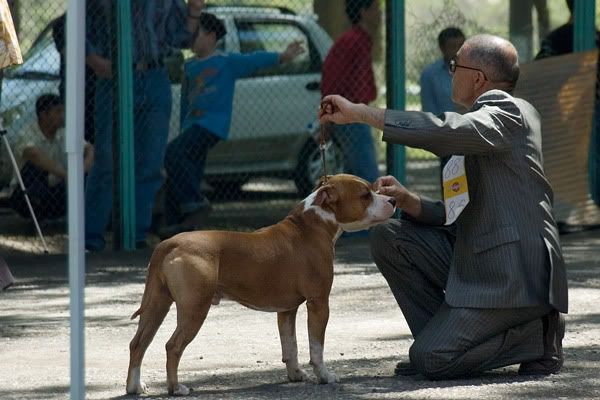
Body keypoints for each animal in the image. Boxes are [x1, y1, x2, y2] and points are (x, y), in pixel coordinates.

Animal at [126, 173, 396, 395]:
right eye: (365, 195)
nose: (393, 200)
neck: (314, 223)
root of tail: (168, 243)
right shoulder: (318, 303)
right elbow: (316, 347)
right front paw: (325, 376)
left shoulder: (287, 310)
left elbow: (290, 345)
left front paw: (295, 375)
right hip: (194, 309)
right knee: (172, 346)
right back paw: (175, 388)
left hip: (157, 305)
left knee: (138, 343)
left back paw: (134, 387)